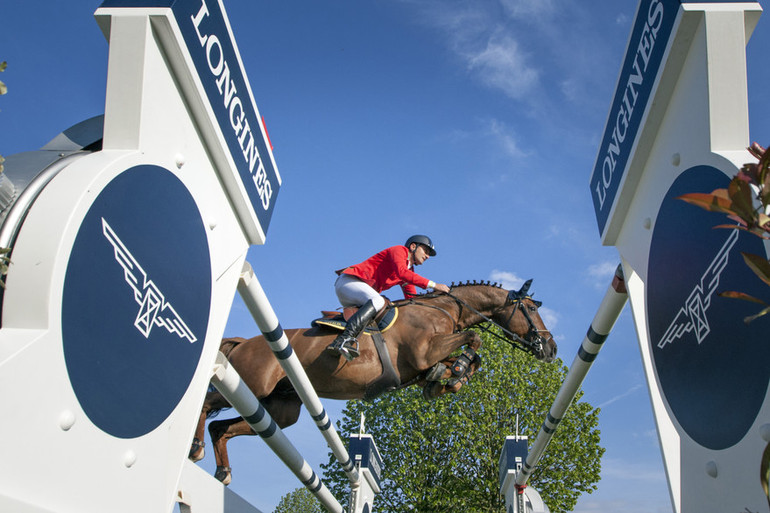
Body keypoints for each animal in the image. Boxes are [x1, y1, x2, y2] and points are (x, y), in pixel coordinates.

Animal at [189, 280, 556, 484]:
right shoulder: (424, 352)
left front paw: (448, 380)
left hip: (279, 409)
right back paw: (195, 448)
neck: (443, 309)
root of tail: (243, 342)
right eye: (530, 309)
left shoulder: (423, 362)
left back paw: (223, 472)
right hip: (252, 384)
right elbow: (474, 340)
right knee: (206, 405)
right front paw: (455, 373)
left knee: (224, 428)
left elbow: (465, 359)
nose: (551, 348)